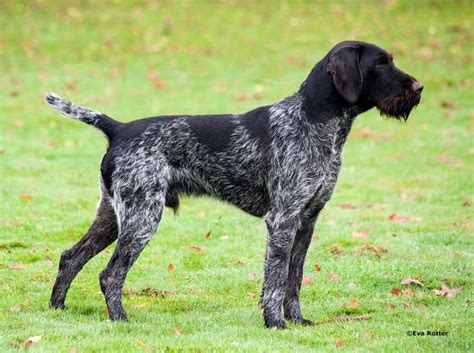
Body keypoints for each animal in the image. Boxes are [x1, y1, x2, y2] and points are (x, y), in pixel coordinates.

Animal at [45, 40, 422, 328]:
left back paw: (58, 308)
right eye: (381, 63)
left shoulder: (307, 220)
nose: (419, 88)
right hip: (142, 218)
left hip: (112, 215)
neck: (314, 121)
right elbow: (275, 280)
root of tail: (119, 128)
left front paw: (298, 321)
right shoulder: (282, 220)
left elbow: (294, 279)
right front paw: (275, 324)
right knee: (110, 274)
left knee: (71, 257)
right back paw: (120, 319)